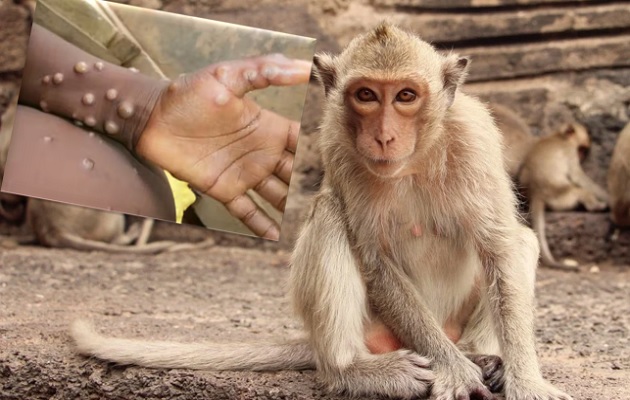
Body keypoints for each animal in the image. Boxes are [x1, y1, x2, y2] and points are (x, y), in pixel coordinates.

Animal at [69, 24, 572, 400]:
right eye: (366, 95)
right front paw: (455, 370)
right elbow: (374, 258)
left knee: (520, 241)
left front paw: (525, 381)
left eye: (406, 96)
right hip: (374, 331)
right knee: (330, 214)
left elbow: (499, 246)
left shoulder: (476, 139)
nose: (384, 136)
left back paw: (480, 355)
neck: (413, 161)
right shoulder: (337, 144)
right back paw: (354, 371)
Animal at [520, 123, 612, 270]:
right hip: (561, 197)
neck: (559, 136)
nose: (582, 156)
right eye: (581, 149)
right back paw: (596, 206)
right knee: (579, 191)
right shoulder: (570, 152)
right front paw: (607, 197)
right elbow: (577, 176)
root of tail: (537, 193)